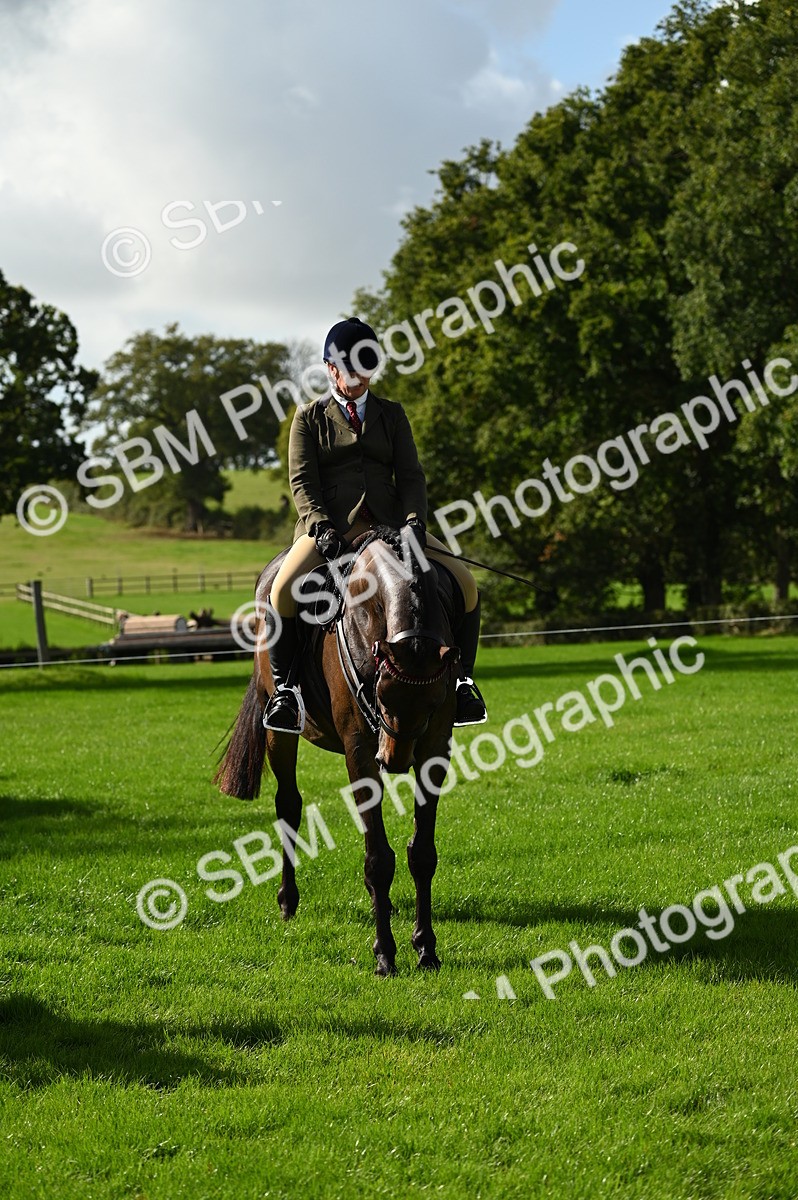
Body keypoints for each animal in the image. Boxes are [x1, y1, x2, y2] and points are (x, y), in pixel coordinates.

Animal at [214, 527, 464, 976]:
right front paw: (385, 955)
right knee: (288, 805)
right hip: (279, 730)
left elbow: (422, 853)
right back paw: (288, 901)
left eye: (434, 701)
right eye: (382, 695)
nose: (395, 760)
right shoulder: (360, 749)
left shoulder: (435, 746)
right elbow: (379, 860)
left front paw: (426, 948)